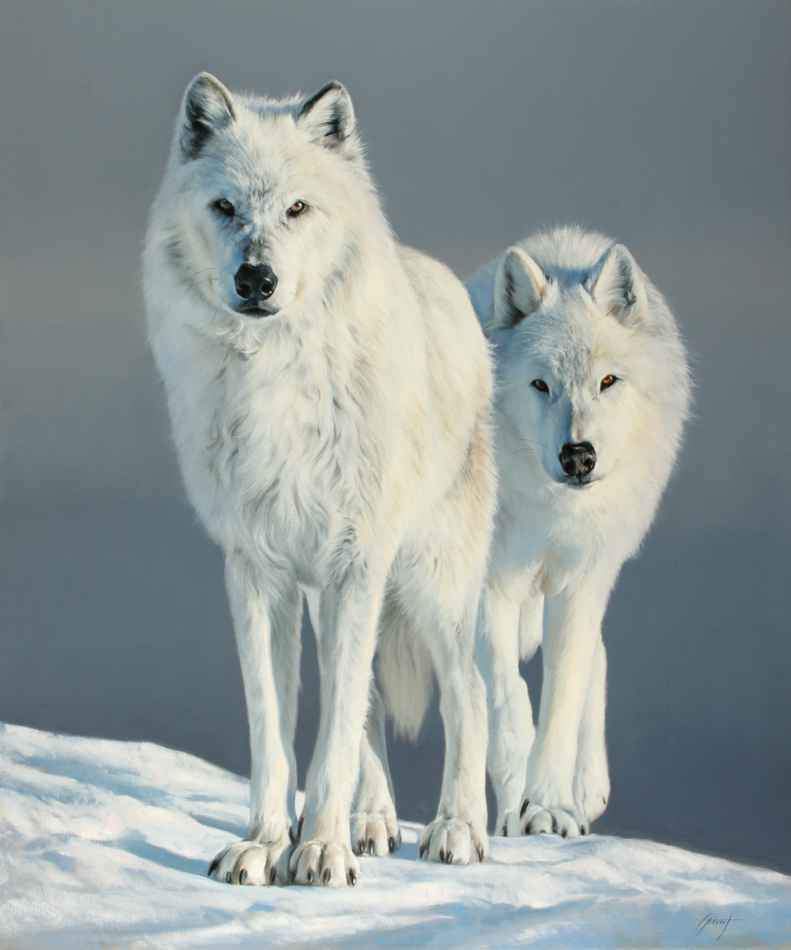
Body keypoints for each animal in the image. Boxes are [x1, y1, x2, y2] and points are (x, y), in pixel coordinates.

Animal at [142, 74, 495, 887]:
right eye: (225, 208)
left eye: (297, 209)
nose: (257, 277)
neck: (276, 376)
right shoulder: (257, 572)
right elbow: (274, 730)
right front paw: (266, 845)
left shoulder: (355, 564)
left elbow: (332, 736)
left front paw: (322, 851)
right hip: (327, 597)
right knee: (368, 706)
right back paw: (373, 823)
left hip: (425, 586)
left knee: (470, 693)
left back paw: (456, 832)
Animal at [467, 226, 690, 838]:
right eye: (540, 384)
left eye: (608, 381)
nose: (578, 456)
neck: (551, 512)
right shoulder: (492, 585)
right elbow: (506, 702)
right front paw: (518, 799)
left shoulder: (579, 582)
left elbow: (564, 699)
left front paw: (549, 806)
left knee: (598, 655)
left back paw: (587, 787)